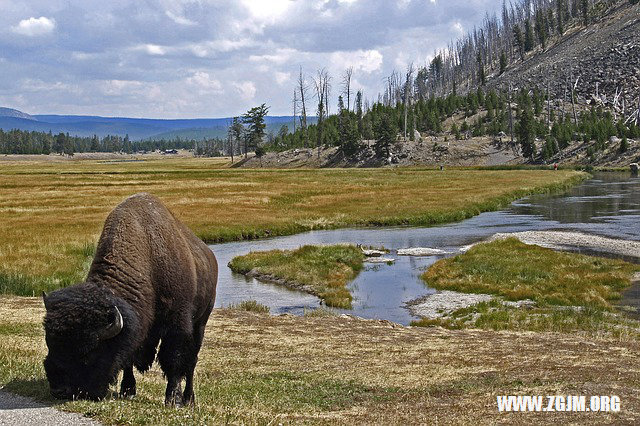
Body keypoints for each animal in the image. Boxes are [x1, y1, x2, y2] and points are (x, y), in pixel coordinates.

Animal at [43, 193, 218, 406]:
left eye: (88, 352)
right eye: (49, 343)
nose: (59, 390)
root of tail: (210, 256)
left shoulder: (177, 323)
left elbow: (173, 359)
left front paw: (171, 398)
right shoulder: (134, 326)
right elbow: (128, 358)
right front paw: (127, 390)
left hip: (201, 323)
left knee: (191, 362)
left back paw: (188, 400)